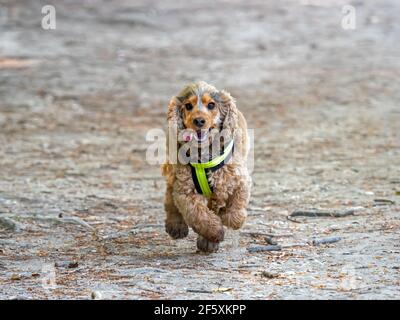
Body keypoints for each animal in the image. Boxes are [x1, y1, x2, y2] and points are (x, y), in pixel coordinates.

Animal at [162, 81, 250, 251]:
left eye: (211, 105)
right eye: (188, 106)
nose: (199, 121)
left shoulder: (239, 179)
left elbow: (236, 206)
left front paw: (230, 219)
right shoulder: (185, 190)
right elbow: (199, 215)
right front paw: (214, 232)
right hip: (172, 172)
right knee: (170, 195)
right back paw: (176, 226)